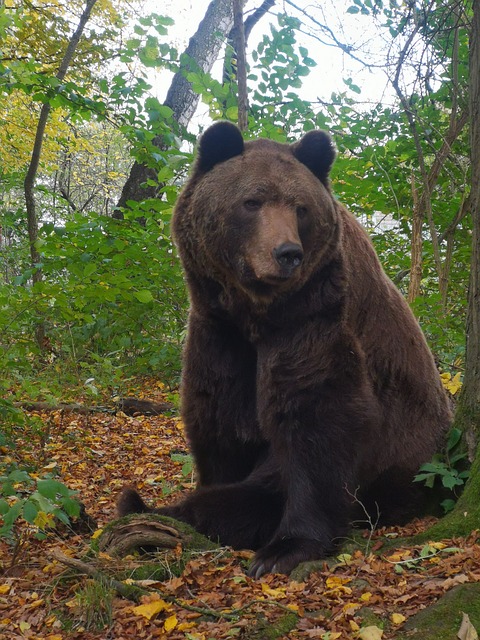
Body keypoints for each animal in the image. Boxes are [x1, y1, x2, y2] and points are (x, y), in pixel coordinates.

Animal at [118, 120, 452, 576]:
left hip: (410, 463)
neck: (255, 312)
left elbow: (317, 418)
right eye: (251, 201)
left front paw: (284, 548)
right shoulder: (218, 330)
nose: (288, 253)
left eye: (300, 208)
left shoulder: (314, 316)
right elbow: (216, 415)